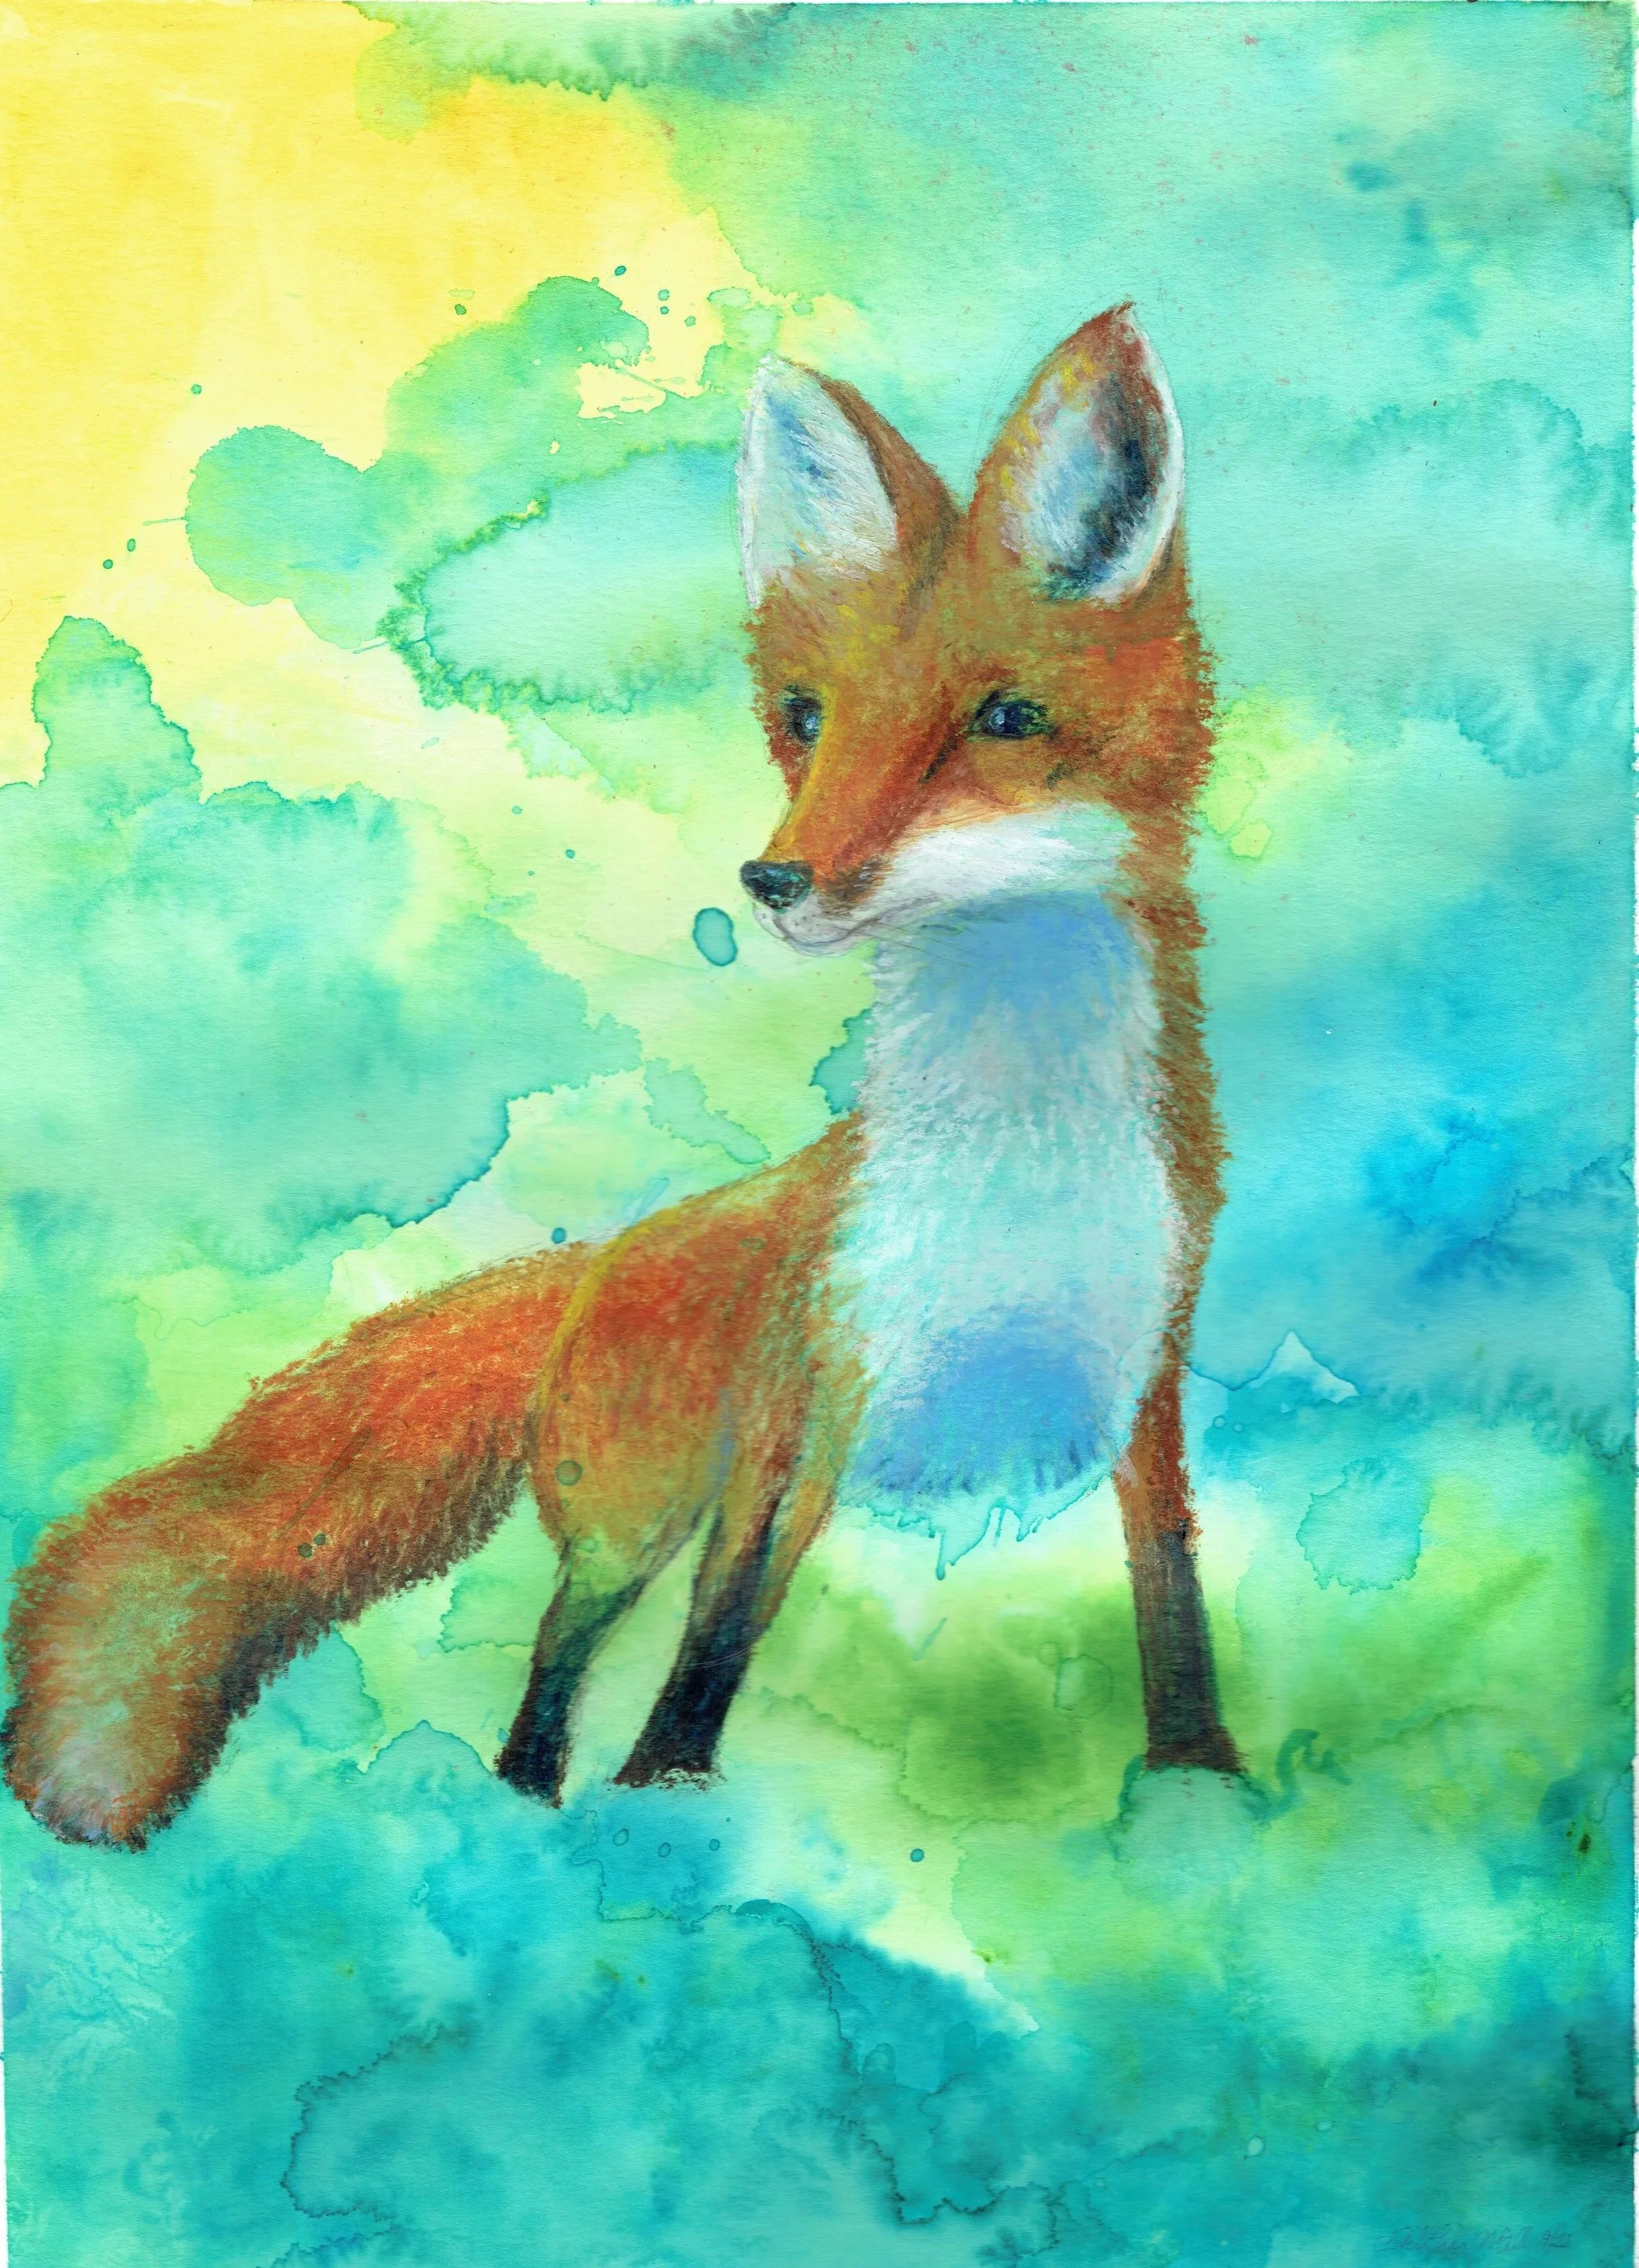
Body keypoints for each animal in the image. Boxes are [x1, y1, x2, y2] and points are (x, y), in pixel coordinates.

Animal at [3, 304, 1242, 1850]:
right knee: (561, 1643)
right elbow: (723, 1624)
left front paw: (1201, 1788)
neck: (1013, 1168)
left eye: (1005, 721)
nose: (775, 878)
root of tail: (605, 1254)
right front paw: (666, 1793)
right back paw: (527, 1800)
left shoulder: (1146, 1385)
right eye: (804, 718)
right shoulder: (804, 1402)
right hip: (627, 1510)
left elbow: (1170, 1596)